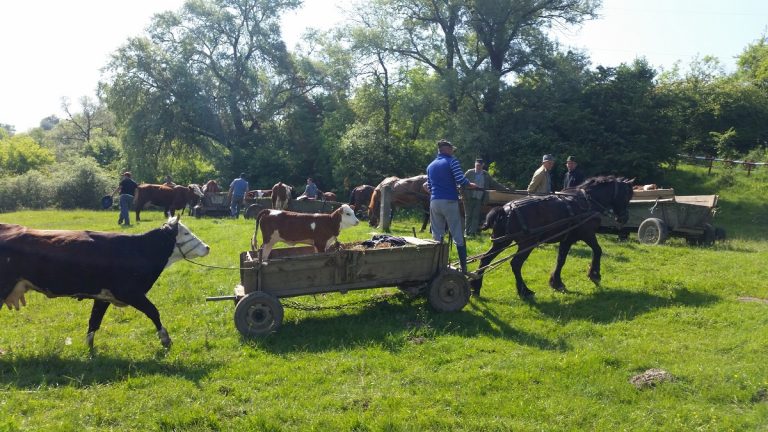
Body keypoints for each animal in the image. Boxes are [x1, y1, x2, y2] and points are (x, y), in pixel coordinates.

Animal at [0, 216, 210, 349]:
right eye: (185, 233)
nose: (207, 247)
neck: (137, 249)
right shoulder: (130, 292)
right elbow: (153, 312)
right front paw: (165, 339)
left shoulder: (103, 297)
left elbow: (94, 322)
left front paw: (89, 348)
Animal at [470, 176, 634, 299]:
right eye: (627, 195)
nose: (624, 218)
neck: (587, 201)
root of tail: (504, 209)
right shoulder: (587, 233)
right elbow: (598, 250)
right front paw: (595, 275)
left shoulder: (567, 239)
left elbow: (561, 260)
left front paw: (557, 283)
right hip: (526, 243)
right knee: (516, 264)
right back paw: (525, 291)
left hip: (502, 241)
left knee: (485, 259)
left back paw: (476, 287)